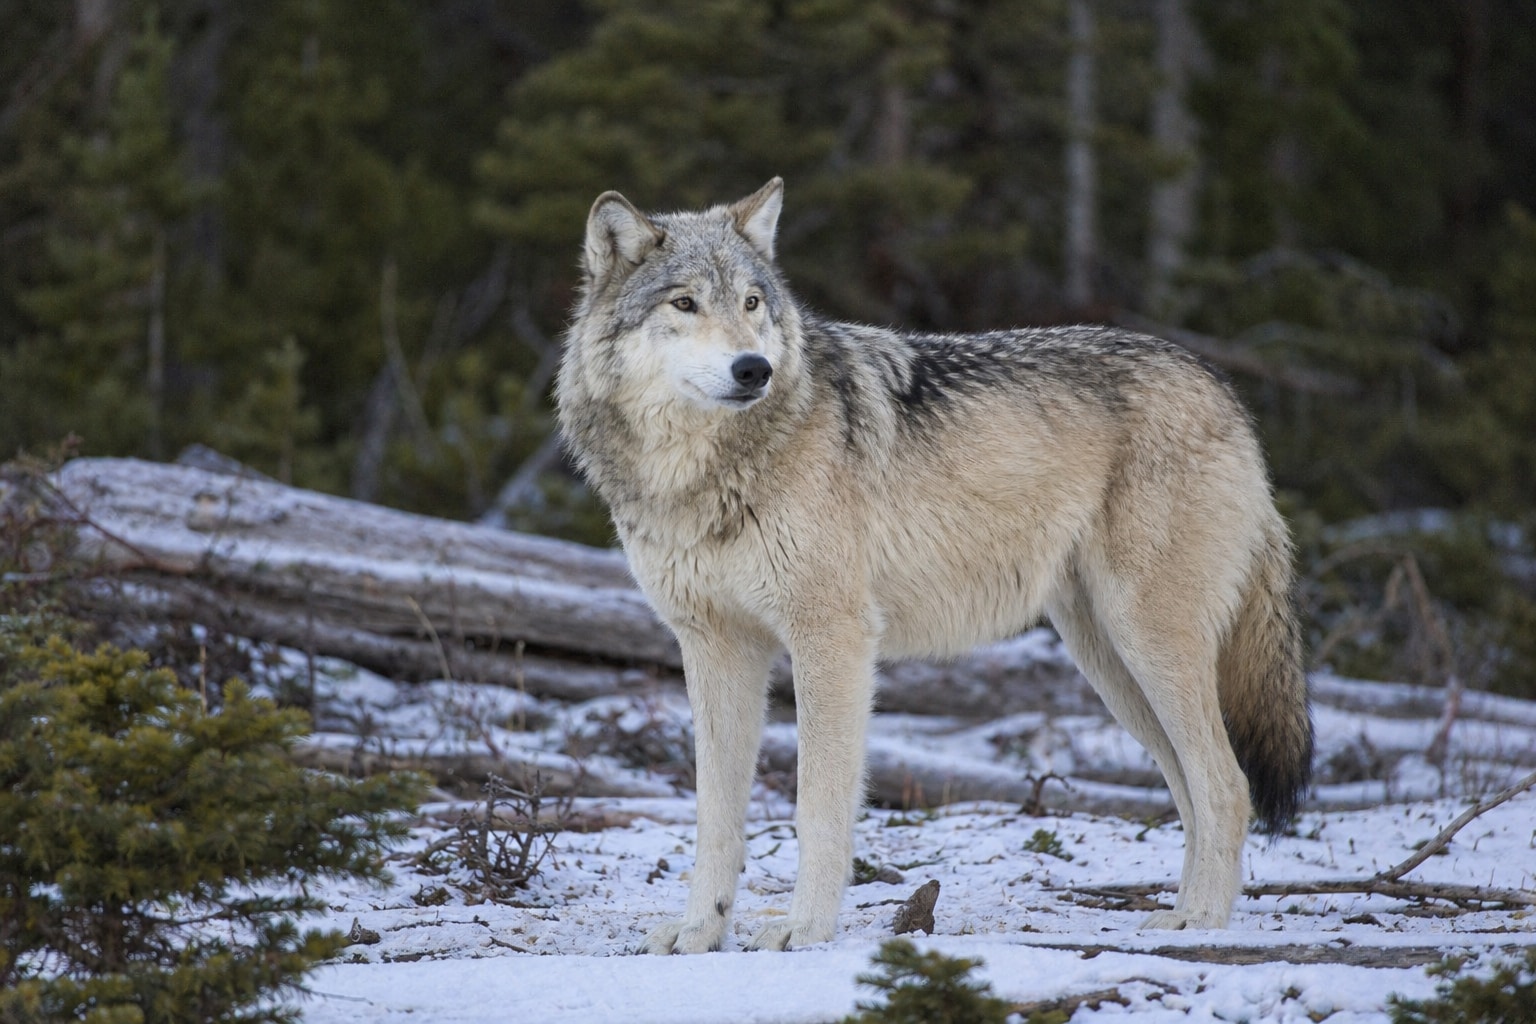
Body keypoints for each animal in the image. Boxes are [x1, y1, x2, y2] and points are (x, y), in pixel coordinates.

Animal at [556, 178, 1312, 953]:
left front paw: (804, 928)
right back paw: (1182, 910)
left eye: (752, 303)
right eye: (684, 303)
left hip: (1149, 645)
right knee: (1190, 789)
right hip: (1111, 664)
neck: (703, 473)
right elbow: (714, 815)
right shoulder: (714, 647)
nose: (753, 369)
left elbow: (816, 805)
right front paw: (698, 933)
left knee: (1228, 784)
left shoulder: (832, 638)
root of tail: (1224, 390)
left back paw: (1202, 923)